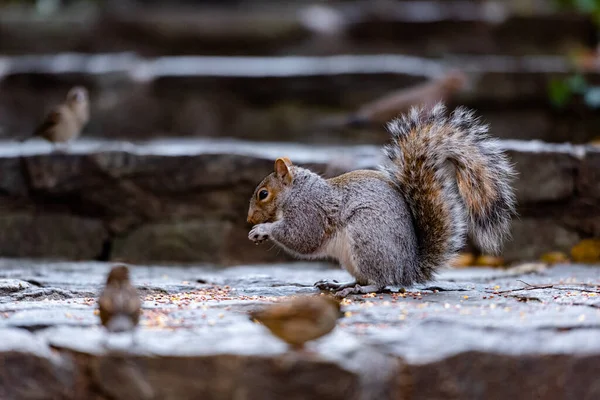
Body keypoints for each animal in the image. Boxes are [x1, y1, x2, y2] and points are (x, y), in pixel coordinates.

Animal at [247, 103, 516, 296]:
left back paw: (361, 288)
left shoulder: (309, 210)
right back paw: (340, 285)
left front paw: (262, 230)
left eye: (263, 194)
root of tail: (407, 269)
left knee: (382, 282)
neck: (296, 191)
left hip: (367, 238)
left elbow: (302, 237)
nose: (249, 219)